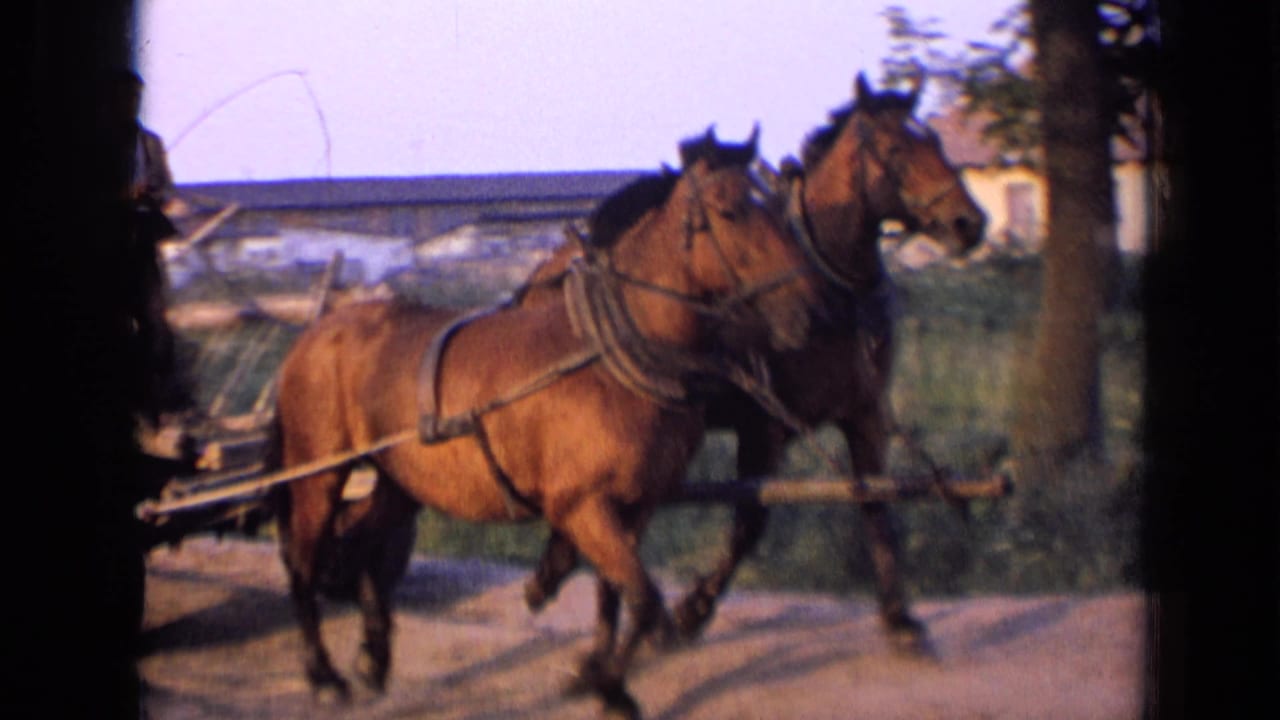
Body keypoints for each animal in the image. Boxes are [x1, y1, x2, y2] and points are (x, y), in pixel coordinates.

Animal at [268, 130, 823, 716]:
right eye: (729, 210)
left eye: (774, 206)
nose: (812, 314)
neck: (608, 359)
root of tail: (316, 333)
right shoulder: (582, 506)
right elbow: (645, 602)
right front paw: (607, 680)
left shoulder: (634, 506)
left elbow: (618, 597)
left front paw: (605, 682)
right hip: (318, 472)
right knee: (304, 562)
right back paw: (324, 675)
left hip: (399, 479)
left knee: (368, 550)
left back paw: (373, 659)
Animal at [523, 73, 987, 655]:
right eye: (897, 148)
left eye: (938, 142)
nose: (968, 223)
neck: (833, 287)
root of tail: (556, 264)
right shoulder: (764, 425)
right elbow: (751, 519)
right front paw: (694, 607)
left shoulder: (865, 416)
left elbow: (876, 504)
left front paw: (899, 617)